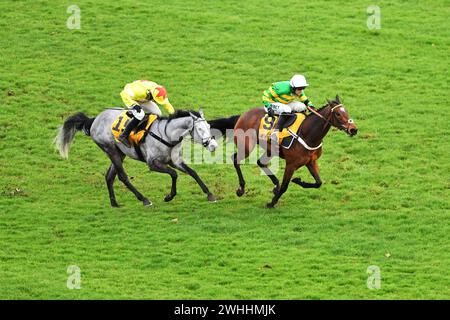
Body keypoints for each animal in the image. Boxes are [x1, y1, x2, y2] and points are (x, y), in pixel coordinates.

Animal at [53, 109, 219, 206]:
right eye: (199, 129)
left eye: (209, 127)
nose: (213, 146)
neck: (167, 135)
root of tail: (94, 120)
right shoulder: (153, 163)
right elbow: (174, 174)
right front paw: (169, 196)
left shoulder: (175, 161)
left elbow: (193, 173)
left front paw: (210, 195)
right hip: (111, 150)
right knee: (122, 176)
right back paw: (144, 199)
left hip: (119, 153)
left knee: (109, 176)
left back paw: (114, 203)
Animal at [210, 95, 356, 209]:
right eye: (338, 114)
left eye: (347, 112)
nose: (353, 129)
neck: (307, 133)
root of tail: (242, 115)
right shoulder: (291, 164)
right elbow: (285, 186)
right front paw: (271, 203)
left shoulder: (311, 162)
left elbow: (318, 183)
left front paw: (298, 180)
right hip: (246, 146)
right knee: (235, 159)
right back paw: (241, 189)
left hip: (270, 150)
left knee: (260, 163)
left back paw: (275, 186)